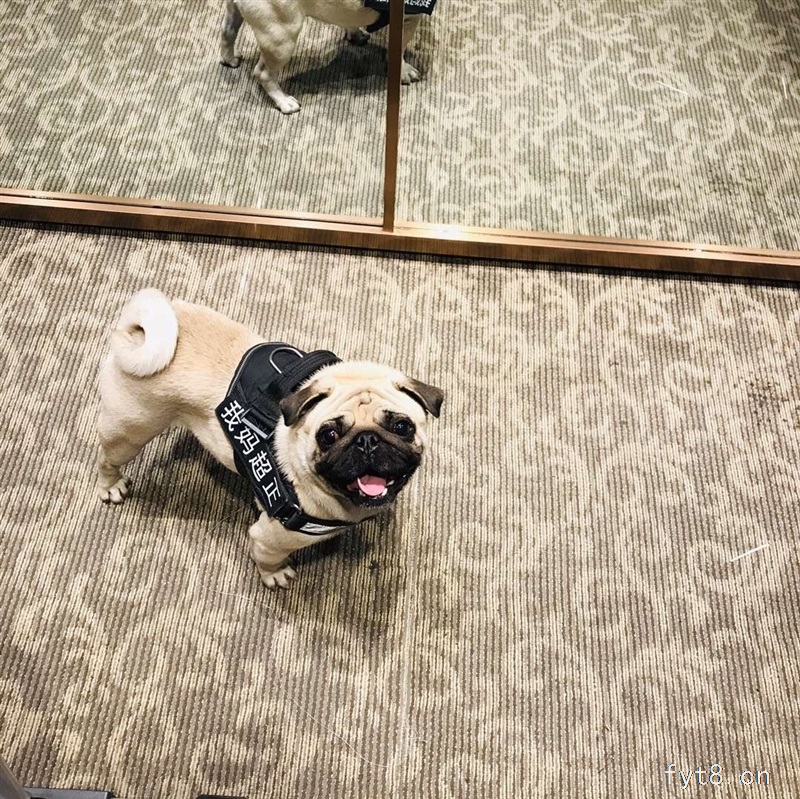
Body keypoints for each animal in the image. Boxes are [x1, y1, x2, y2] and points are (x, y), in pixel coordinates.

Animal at [96, 289, 443, 589]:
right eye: (329, 435)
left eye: (402, 427)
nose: (367, 440)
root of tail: (138, 332)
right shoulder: (270, 538)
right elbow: (268, 558)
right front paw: (274, 575)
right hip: (130, 431)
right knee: (107, 459)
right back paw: (112, 485)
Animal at [219, 0, 430, 113]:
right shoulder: (407, 21)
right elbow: (398, 50)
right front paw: (403, 70)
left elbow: (350, 19)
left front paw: (355, 34)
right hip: (281, 37)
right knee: (263, 73)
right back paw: (284, 101)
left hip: (236, 14)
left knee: (227, 33)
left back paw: (229, 59)